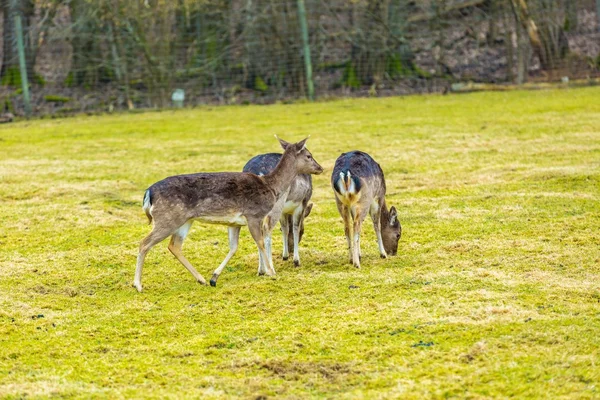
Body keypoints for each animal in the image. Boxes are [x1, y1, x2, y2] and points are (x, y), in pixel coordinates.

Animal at [135, 137, 324, 290]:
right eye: (309, 155)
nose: (320, 168)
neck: (271, 186)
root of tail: (148, 193)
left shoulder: (234, 223)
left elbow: (233, 247)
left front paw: (214, 277)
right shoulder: (254, 214)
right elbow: (261, 241)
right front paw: (271, 271)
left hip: (185, 220)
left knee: (174, 246)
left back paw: (202, 279)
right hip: (167, 218)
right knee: (144, 243)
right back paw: (137, 285)